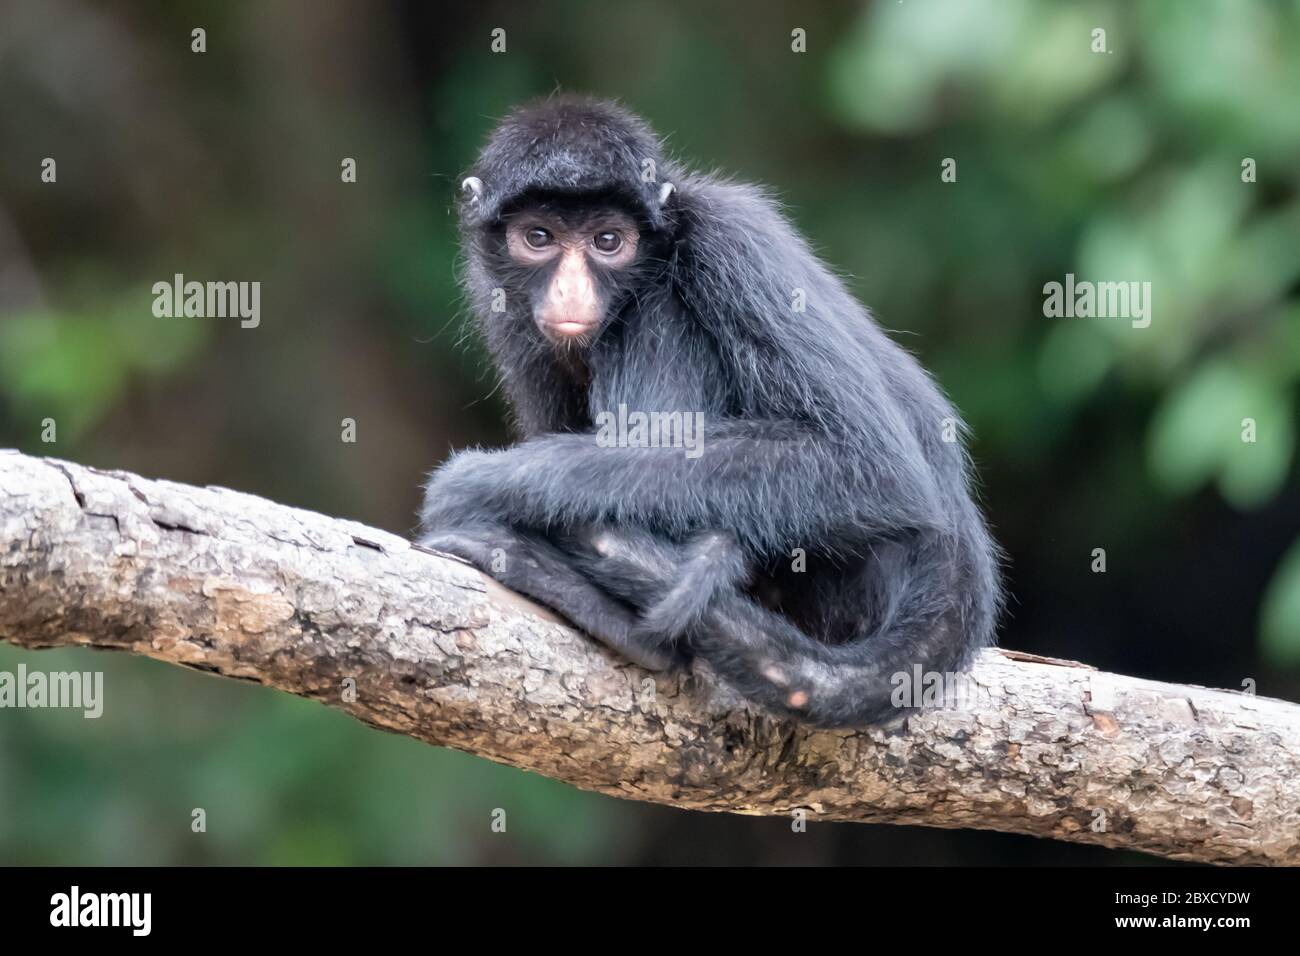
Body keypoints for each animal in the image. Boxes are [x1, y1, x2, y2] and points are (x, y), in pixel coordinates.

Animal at [419, 95, 1002, 727]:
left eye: (608, 241)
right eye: (539, 236)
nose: (571, 292)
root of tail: (959, 554)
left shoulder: (732, 236)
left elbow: (873, 469)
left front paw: (481, 484)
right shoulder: (499, 306)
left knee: (656, 305)